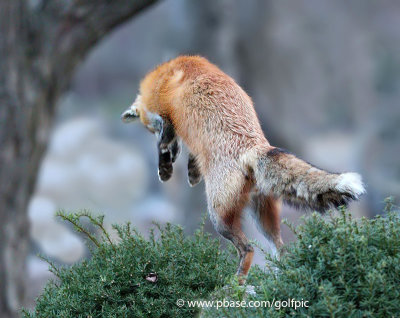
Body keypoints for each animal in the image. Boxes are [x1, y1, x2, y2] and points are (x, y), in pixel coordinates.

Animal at [121, 56, 366, 284]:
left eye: (149, 129)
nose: (151, 130)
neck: (168, 71)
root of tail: (253, 146)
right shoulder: (195, 140)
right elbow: (190, 154)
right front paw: (190, 171)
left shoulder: (167, 116)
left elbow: (165, 142)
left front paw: (165, 166)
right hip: (262, 217)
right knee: (281, 248)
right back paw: (280, 278)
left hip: (218, 217)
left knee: (248, 249)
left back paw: (236, 282)